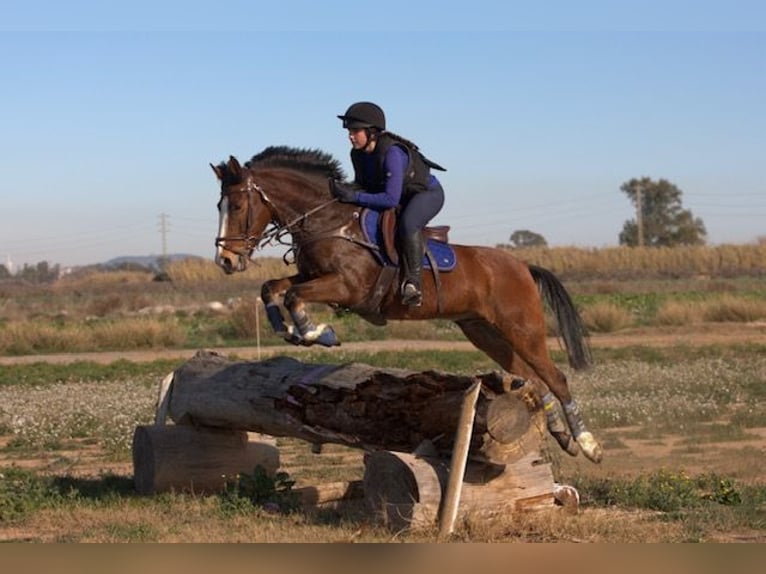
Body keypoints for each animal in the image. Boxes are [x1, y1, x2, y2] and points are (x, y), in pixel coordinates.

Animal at [211, 146, 602, 463]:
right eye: (219, 206)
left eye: (239, 206)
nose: (225, 261)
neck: (328, 223)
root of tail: (522, 266)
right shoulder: (312, 276)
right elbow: (272, 288)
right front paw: (288, 330)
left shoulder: (347, 287)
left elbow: (294, 296)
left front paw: (318, 333)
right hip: (483, 331)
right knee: (530, 377)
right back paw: (563, 436)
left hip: (521, 327)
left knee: (555, 376)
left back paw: (588, 444)